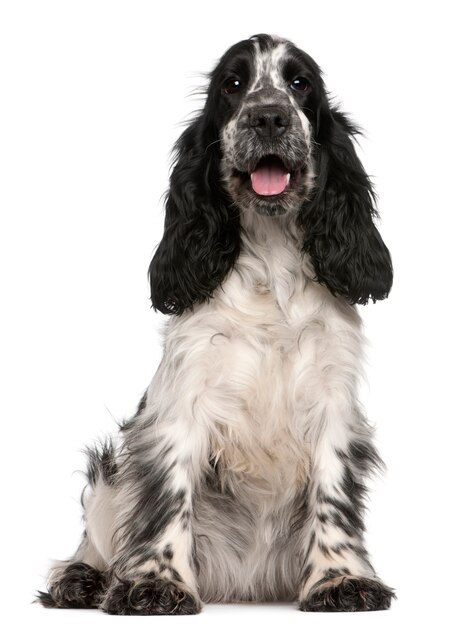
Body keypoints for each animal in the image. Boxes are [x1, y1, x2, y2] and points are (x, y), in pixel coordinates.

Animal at [39, 33, 396, 608]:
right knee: (96, 535)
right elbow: (168, 494)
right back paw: (81, 579)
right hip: (110, 478)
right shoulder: (180, 402)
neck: (271, 258)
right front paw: (156, 583)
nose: (269, 115)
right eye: (233, 84)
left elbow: (333, 495)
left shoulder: (333, 399)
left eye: (300, 83)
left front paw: (341, 578)